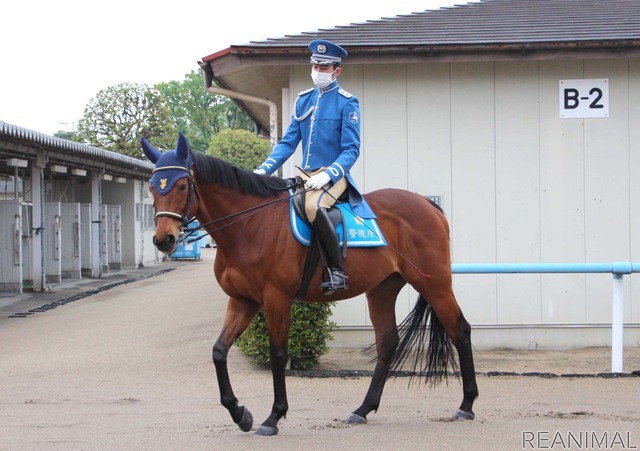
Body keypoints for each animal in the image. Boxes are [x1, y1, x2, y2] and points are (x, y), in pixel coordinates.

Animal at [142, 134, 478, 438]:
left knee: (460, 329)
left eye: (182, 185)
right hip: (382, 289)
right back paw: (362, 410)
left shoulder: (276, 298)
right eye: (152, 186)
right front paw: (240, 414)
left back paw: (467, 404)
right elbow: (218, 351)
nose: (164, 239)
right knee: (388, 343)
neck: (249, 226)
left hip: (434, 284)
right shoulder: (243, 300)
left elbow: (278, 354)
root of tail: (426, 203)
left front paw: (273, 417)